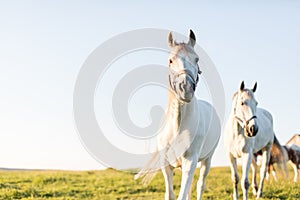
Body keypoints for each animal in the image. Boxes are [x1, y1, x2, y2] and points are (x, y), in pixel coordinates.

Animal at [135, 30, 221, 200]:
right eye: (170, 60)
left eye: (196, 59)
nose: (185, 89)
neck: (178, 125)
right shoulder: (167, 165)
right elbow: (171, 194)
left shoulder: (190, 161)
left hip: (207, 160)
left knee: (200, 185)